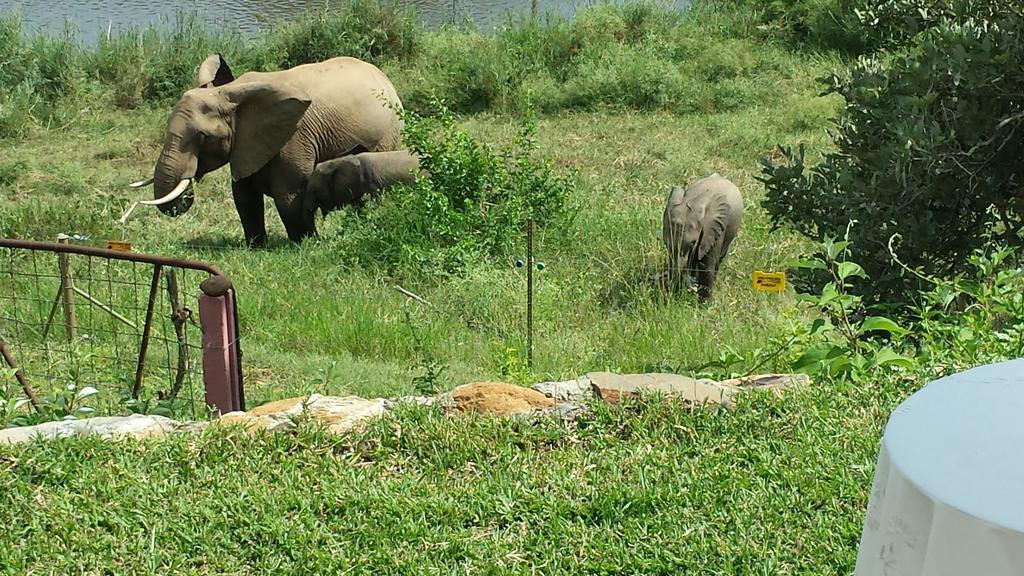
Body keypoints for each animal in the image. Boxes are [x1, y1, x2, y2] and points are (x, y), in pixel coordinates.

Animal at [134, 54, 405, 248]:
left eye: (203, 137)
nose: (188, 189)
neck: (228, 93)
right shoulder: (246, 143)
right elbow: (244, 196)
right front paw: (256, 247)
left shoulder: (294, 137)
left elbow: (289, 196)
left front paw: (304, 244)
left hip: (389, 133)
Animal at [663, 171, 745, 301]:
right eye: (666, 243)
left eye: (693, 242)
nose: (692, 287)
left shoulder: (715, 228)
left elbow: (706, 265)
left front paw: (705, 303)